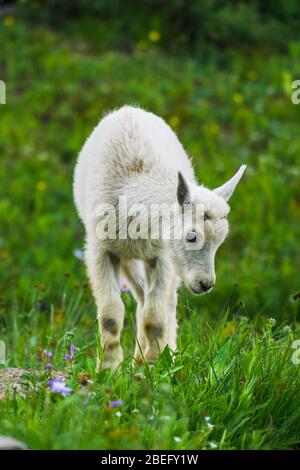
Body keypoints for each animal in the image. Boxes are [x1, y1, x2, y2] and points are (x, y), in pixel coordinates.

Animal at [73, 104, 246, 370]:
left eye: (220, 243)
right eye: (192, 237)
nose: (205, 284)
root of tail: (129, 109)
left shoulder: (162, 255)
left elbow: (155, 316)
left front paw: (153, 366)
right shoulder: (101, 250)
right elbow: (111, 314)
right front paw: (109, 368)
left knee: (164, 304)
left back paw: (163, 353)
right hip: (131, 255)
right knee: (142, 297)